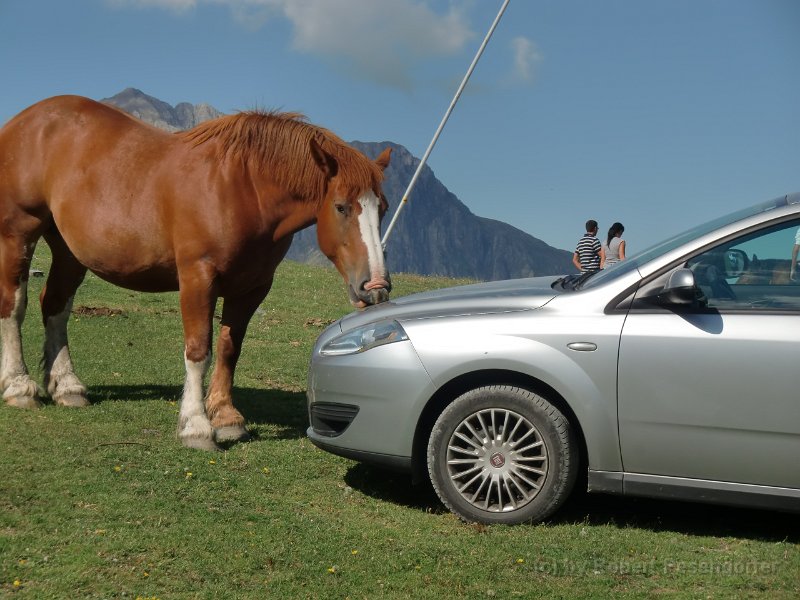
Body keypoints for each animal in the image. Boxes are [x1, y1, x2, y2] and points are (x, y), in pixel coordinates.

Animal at [0, 95, 392, 450]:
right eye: (341, 206)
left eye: (383, 208)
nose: (374, 286)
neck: (242, 187)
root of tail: (23, 121)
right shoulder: (197, 278)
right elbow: (199, 348)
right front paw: (197, 426)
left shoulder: (252, 287)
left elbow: (230, 348)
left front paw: (227, 418)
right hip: (19, 233)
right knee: (14, 306)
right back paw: (19, 386)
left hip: (69, 250)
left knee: (55, 306)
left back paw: (66, 385)